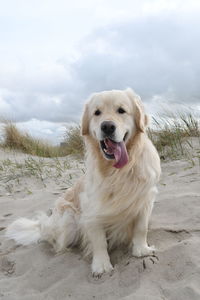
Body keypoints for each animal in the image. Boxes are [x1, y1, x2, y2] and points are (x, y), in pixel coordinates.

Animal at [5, 88, 161, 276]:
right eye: (97, 113)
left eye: (121, 110)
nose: (107, 126)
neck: (116, 170)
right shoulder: (91, 207)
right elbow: (98, 239)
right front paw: (101, 264)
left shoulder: (145, 198)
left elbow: (141, 228)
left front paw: (141, 250)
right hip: (68, 218)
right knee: (56, 241)